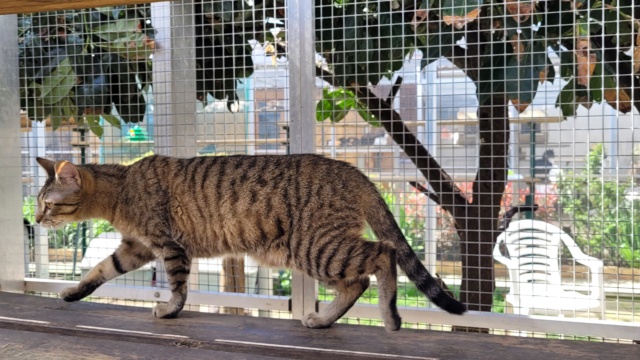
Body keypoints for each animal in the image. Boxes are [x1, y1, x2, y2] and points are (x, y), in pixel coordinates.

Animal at [35, 155, 464, 332]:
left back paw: (390, 316)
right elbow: (100, 269)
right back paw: (325, 319)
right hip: (315, 250)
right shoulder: (135, 247)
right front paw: (73, 292)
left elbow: (177, 286)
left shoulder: (169, 245)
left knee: (382, 255)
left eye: (47, 204)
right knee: (357, 281)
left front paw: (171, 310)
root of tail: (352, 170)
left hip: (316, 246)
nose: (36, 219)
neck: (121, 188)